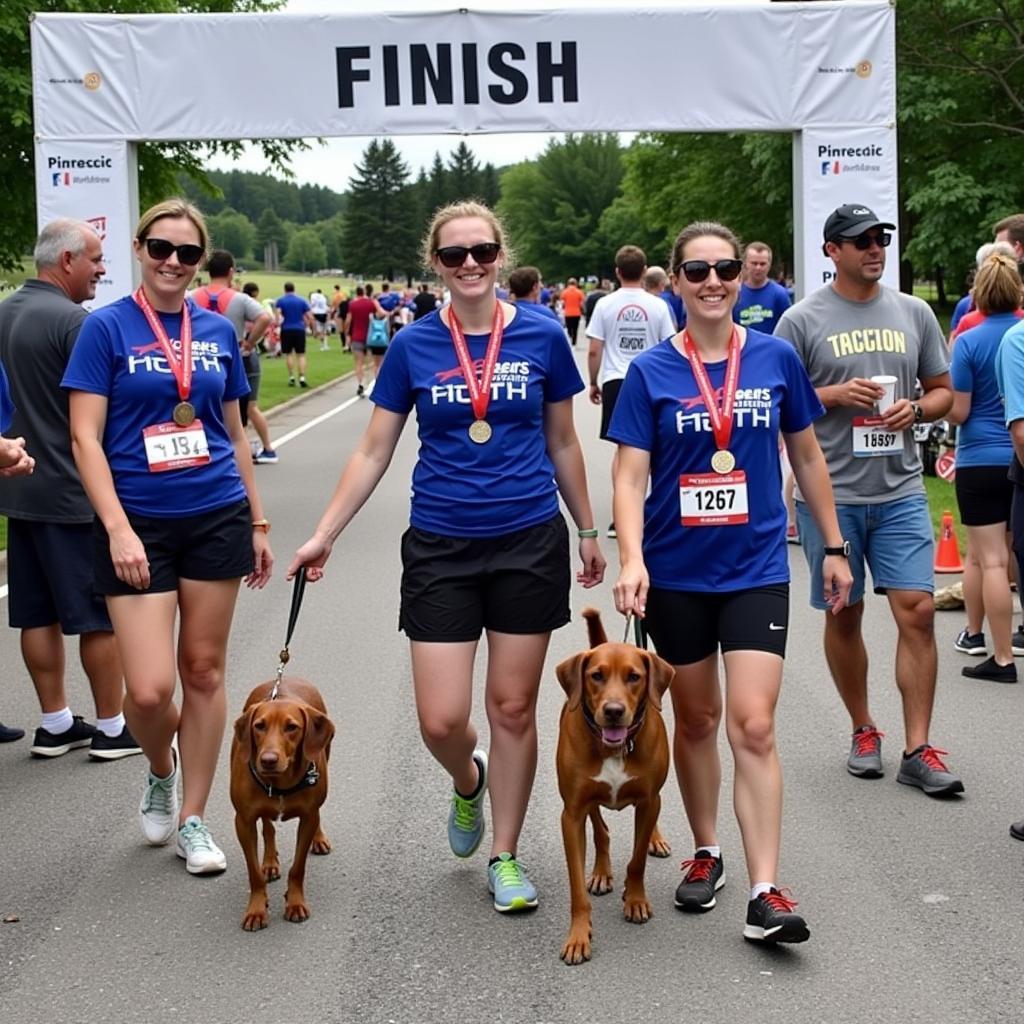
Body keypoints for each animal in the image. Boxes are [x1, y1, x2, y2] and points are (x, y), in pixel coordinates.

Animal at [230, 675, 333, 933]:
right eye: (259, 726)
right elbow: (254, 872)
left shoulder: (308, 817)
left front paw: (295, 903)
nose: (268, 760)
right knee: (268, 826)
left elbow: (298, 867)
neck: (280, 783)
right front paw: (256, 909)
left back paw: (319, 839)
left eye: (291, 727)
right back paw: (269, 862)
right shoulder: (243, 822)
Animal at [557, 606, 675, 966]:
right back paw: (601, 872)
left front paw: (635, 899)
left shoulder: (649, 800)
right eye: (596, 675)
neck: (614, 747)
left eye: (634, 677)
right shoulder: (572, 813)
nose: (613, 711)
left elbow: (637, 861)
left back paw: (656, 839)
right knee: (602, 830)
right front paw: (578, 935)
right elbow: (577, 886)